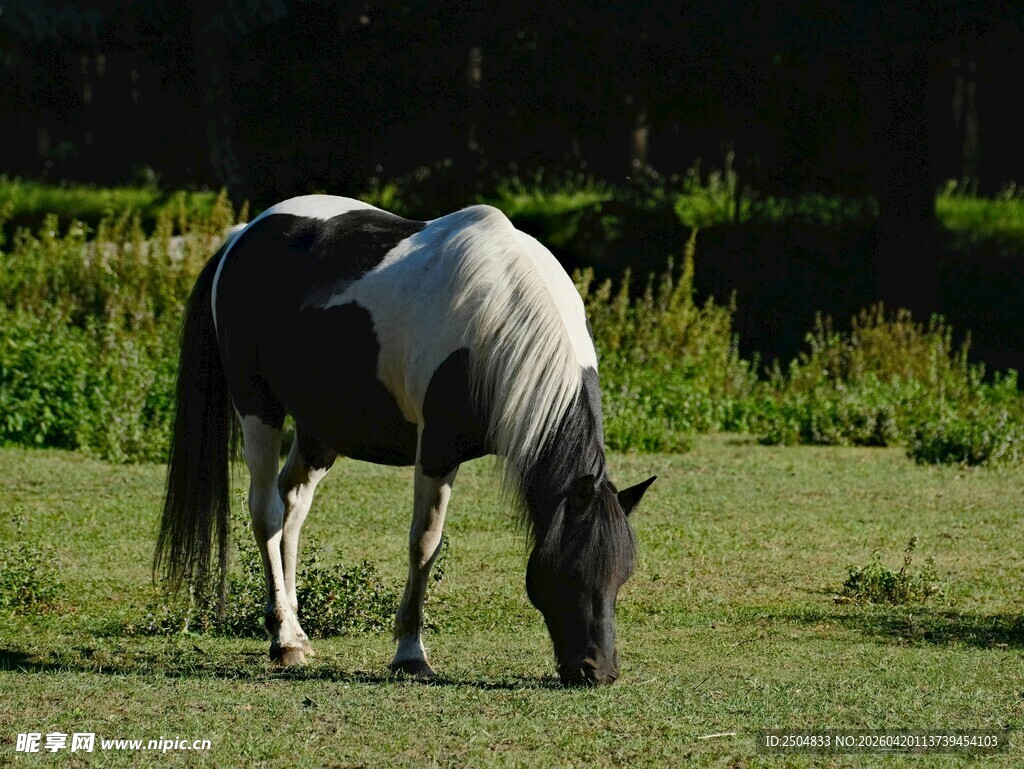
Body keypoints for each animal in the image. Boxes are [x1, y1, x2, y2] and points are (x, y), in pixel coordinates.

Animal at [155, 195, 655, 686]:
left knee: (292, 505)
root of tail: (243, 234)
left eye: (623, 575)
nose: (598, 671)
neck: (498, 315)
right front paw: (410, 654)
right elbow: (424, 544)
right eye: (570, 571)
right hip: (259, 408)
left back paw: (295, 627)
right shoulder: (436, 451)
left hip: (319, 428)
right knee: (267, 512)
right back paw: (284, 639)